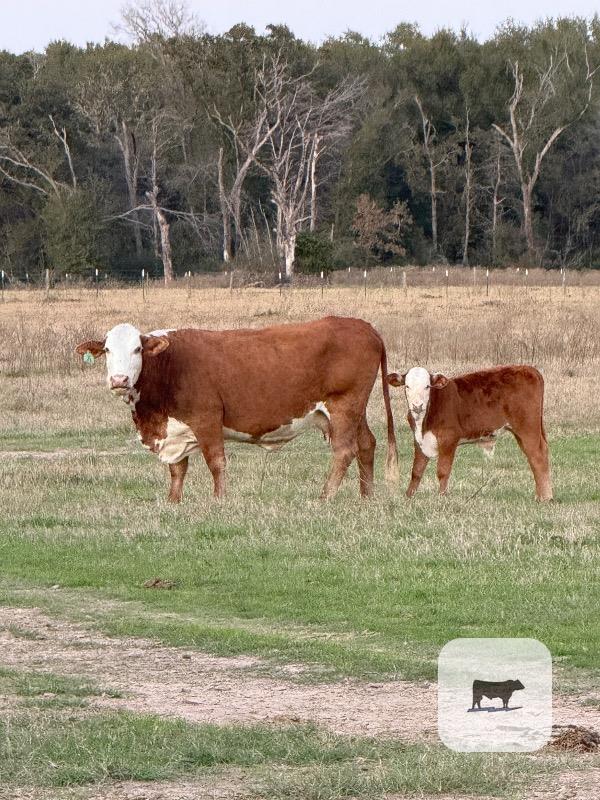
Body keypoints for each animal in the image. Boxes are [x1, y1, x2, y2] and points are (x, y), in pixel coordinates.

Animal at [76, 316, 399, 502]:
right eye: (107, 350)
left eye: (137, 349)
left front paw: (219, 501)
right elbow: (178, 469)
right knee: (367, 444)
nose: (119, 380)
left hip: (343, 405)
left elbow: (216, 462)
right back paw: (366, 497)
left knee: (344, 451)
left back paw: (325, 498)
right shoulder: (176, 430)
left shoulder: (207, 419)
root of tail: (365, 326)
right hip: (355, 410)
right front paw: (173, 502)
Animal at [387, 365, 552, 501]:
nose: (417, 406)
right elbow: (416, 471)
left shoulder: (448, 439)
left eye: (427, 386)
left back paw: (545, 497)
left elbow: (442, 471)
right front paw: (408, 497)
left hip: (528, 427)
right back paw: (541, 495)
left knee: (537, 456)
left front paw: (441, 498)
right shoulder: (419, 440)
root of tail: (529, 369)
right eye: (407, 386)